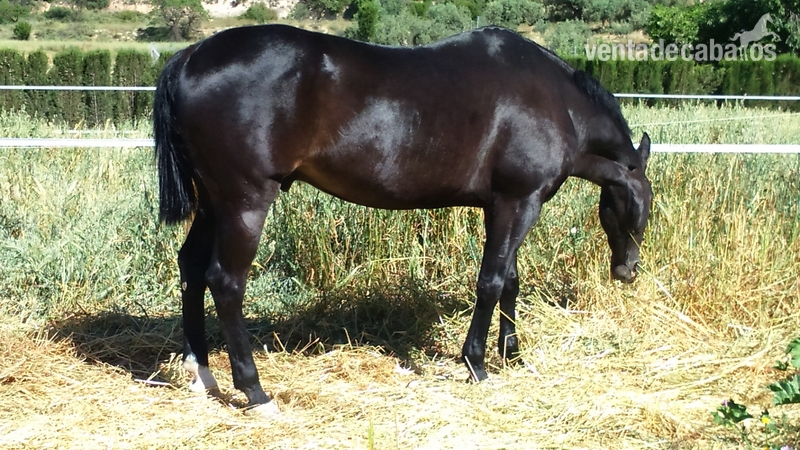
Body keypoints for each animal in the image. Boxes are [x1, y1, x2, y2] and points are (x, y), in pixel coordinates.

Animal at [153, 24, 653, 412]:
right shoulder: (519, 202)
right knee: (225, 282)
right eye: (644, 205)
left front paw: (511, 355)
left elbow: (509, 281)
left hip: (212, 202)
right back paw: (254, 391)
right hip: (244, 202)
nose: (628, 270)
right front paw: (477, 363)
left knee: (191, 267)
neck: (553, 99)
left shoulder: (504, 205)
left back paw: (202, 373)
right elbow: (491, 282)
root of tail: (191, 56)